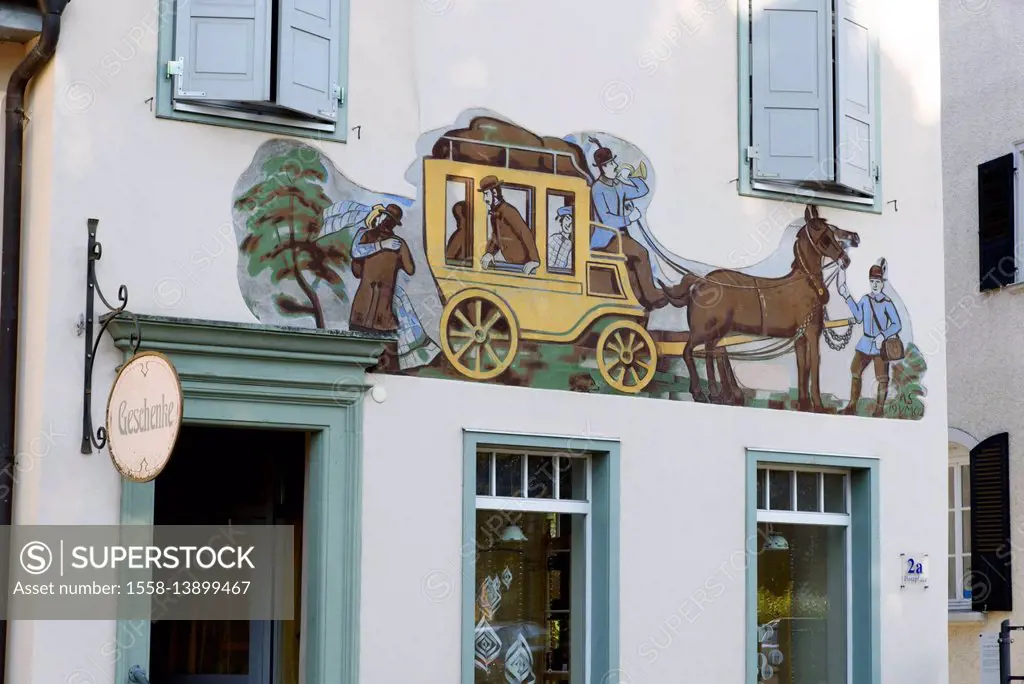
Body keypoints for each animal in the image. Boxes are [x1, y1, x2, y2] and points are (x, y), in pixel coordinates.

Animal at [659, 205, 860, 411]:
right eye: (824, 235)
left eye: (832, 232)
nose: (845, 260)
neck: (806, 283)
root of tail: (700, 282)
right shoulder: (812, 332)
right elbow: (814, 364)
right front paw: (818, 406)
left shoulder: (800, 337)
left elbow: (802, 367)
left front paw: (804, 404)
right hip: (703, 330)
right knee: (689, 351)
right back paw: (701, 393)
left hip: (717, 332)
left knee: (711, 353)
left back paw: (718, 395)